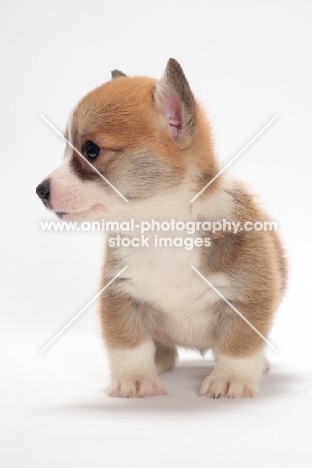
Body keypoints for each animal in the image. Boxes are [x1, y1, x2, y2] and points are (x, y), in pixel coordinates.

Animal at [36, 58, 286, 398]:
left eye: (91, 150)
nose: (40, 190)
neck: (160, 228)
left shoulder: (246, 298)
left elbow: (238, 347)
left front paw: (230, 380)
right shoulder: (123, 296)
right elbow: (129, 346)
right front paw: (135, 379)